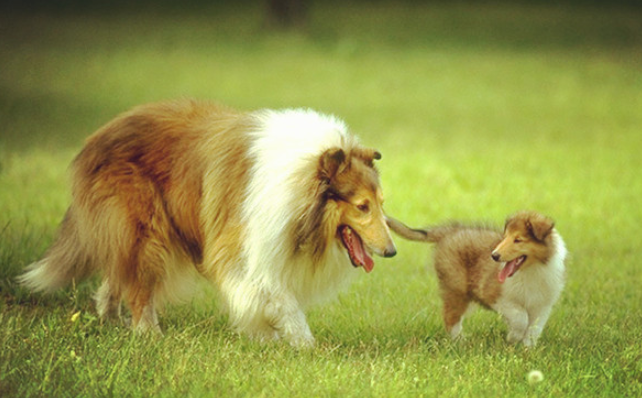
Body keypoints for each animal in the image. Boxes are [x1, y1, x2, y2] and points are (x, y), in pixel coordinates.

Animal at [18, 100, 396, 348]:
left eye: (381, 204)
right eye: (361, 206)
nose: (392, 251)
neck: (299, 185)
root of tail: (93, 141)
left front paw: (273, 336)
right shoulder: (240, 247)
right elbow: (275, 295)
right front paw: (300, 343)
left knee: (119, 273)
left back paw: (112, 320)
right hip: (145, 229)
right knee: (138, 284)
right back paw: (148, 333)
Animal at [384, 211, 564, 346]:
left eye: (518, 240)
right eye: (504, 237)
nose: (494, 256)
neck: (531, 270)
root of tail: (449, 231)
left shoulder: (542, 305)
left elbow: (533, 329)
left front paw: (527, 350)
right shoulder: (495, 295)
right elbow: (520, 317)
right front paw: (513, 338)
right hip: (457, 289)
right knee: (450, 318)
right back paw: (461, 342)